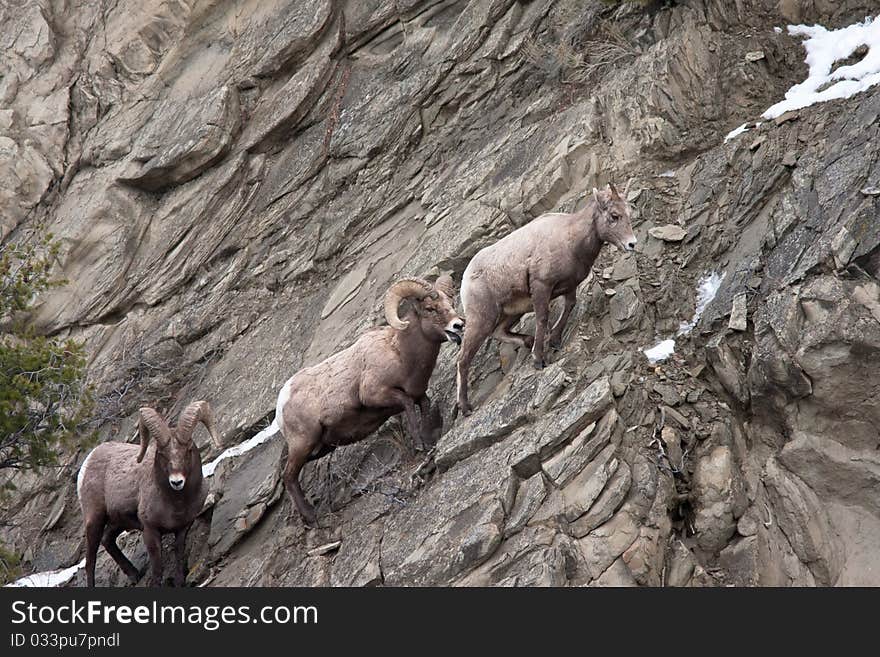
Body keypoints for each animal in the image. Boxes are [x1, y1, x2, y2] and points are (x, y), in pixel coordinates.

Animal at [75, 402, 223, 588]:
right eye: (161, 452)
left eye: (188, 449)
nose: (176, 482)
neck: (177, 504)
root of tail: (89, 459)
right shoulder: (150, 530)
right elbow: (157, 566)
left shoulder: (182, 528)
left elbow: (178, 554)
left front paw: (179, 581)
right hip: (95, 520)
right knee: (90, 561)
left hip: (118, 522)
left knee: (107, 540)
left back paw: (134, 575)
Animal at [276, 274, 468, 524]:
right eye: (430, 308)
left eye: (450, 303)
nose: (459, 325)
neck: (400, 354)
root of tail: (282, 401)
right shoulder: (378, 394)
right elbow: (407, 405)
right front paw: (419, 444)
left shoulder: (418, 393)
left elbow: (424, 406)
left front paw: (428, 440)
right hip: (303, 443)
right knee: (289, 476)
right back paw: (312, 518)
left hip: (320, 447)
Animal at [458, 182, 636, 412]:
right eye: (614, 215)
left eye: (629, 213)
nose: (632, 244)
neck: (571, 239)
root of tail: (466, 278)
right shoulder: (542, 286)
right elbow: (543, 319)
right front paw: (539, 359)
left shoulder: (569, 286)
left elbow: (569, 306)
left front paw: (555, 341)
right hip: (481, 319)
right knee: (463, 359)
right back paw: (465, 407)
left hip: (513, 311)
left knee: (498, 332)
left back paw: (527, 341)